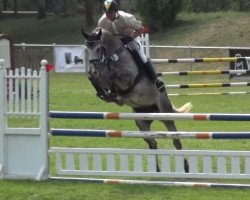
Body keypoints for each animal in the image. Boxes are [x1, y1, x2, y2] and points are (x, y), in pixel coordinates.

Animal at [82, 27, 191, 173]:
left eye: (99, 49)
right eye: (87, 49)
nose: (93, 70)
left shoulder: (127, 77)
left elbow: (113, 75)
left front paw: (113, 92)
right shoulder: (101, 77)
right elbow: (95, 79)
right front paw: (106, 94)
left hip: (165, 114)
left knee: (176, 140)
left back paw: (186, 167)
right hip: (141, 122)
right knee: (152, 143)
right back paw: (157, 171)